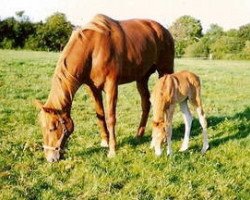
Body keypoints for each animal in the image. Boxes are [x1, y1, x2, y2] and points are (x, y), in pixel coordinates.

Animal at [34, 14, 174, 162]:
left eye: (52, 128)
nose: (50, 158)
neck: (93, 48)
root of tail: (164, 30)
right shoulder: (93, 88)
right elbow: (100, 115)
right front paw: (105, 142)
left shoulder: (111, 86)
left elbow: (111, 118)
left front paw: (112, 150)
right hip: (142, 78)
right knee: (146, 103)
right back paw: (139, 135)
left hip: (165, 72)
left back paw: (164, 138)